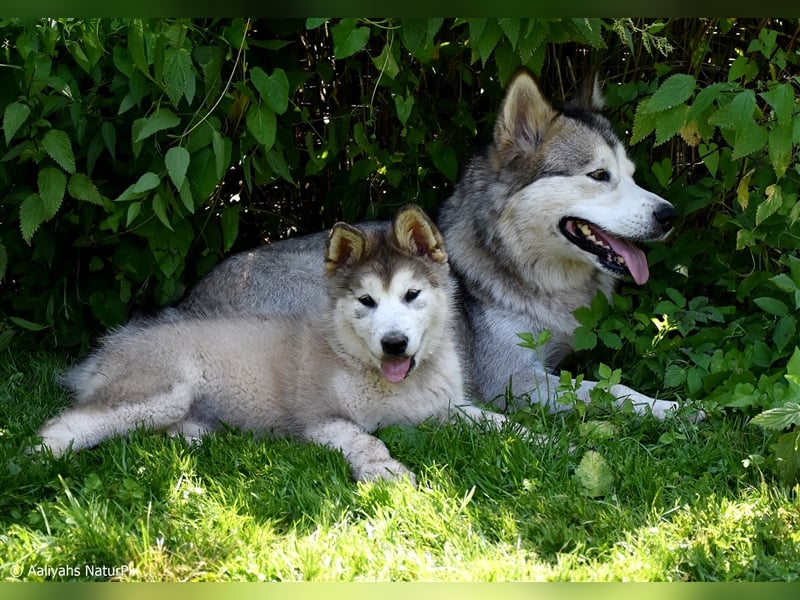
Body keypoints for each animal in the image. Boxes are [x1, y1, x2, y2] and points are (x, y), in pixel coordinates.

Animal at [37, 206, 506, 482]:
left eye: (412, 295)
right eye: (366, 302)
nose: (394, 343)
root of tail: (111, 347)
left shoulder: (448, 407)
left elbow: (498, 421)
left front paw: (525, 436)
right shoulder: (322, 420)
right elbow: (367, 441)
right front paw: (386, 471)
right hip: (158, 391)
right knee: (66, 423)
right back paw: (39, 460)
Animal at [175, 71, 692, 422]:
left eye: (631, 174)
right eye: (599, 175)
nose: (669, 215)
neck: (516, 268)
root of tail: (184, 309)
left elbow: (608, 383)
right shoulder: (514, 382)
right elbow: (607, 391)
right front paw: (675, 408)